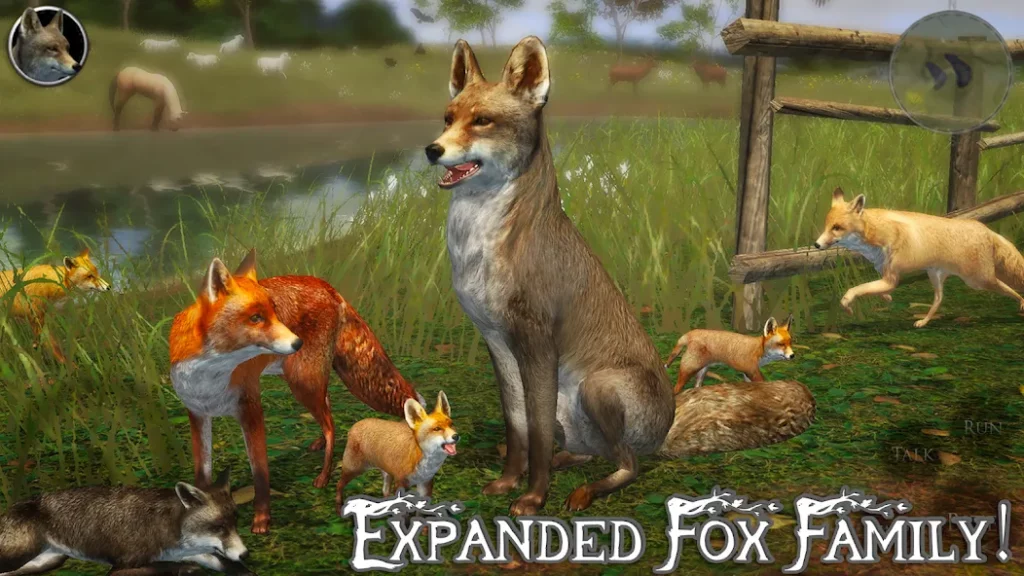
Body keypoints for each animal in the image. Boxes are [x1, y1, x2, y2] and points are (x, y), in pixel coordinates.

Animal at [0, 469, 256, 576]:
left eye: (235, 523)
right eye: (218, 527)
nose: (246, 553)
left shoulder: (193, 553)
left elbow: (233, 568)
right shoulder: (121, 566)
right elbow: (166, 567)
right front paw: (186, 570)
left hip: (44, 562)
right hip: (20, 556)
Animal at [169, 249, 421, 534]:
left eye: (275, 311)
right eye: (256, 318)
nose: (297, 343)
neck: (210, 376)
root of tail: (327, 286)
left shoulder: (251, 409)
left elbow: (260, 474)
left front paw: (262, 520)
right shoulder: (197, 415)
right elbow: (201, 474)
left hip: (302, 382)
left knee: (331, 425)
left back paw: (324, 475)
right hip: (304, 381)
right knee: (327, 410)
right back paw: (320, 443)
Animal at [664, 315, 796, 394]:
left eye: (790, 343)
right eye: (781, 344)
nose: (792, 356)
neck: (758, 350)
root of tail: (691, 332)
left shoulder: (747, 373)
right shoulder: (752, 370)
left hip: (702, 372)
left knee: (696, 387)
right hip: (689, 369)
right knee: (675, 389)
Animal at [814, 187, 1024, 328]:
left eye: (837, 228)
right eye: (826, 226)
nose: (816, 245)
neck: (877, 234)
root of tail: (986, 230)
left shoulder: (891, 278)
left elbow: (854, 290)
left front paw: (847, 305)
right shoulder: (886, 275)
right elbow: (872, 289)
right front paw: (886, 298)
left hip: (979, 280)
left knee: (1008, 288)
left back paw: (1021, 303)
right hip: (936, 276)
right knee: (939, 299)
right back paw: (923, 321)